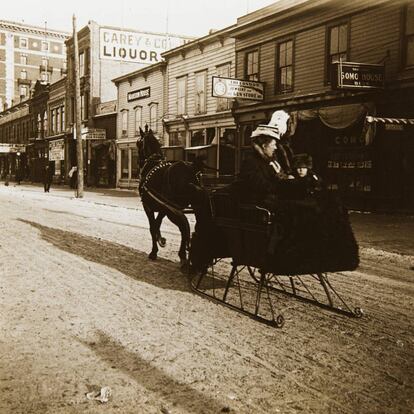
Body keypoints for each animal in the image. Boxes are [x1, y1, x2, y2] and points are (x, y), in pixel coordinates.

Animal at [137, 127, 206, 268]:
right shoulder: (163, 208)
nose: (139, 163)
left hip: (173, 209)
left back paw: (184, 256)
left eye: (138, 143)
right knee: (187, 228)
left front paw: (154, 251)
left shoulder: (149, 206)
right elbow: (157, 224)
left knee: (183, 228)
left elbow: (153, 227)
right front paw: (160, 240)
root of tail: (189, 169)